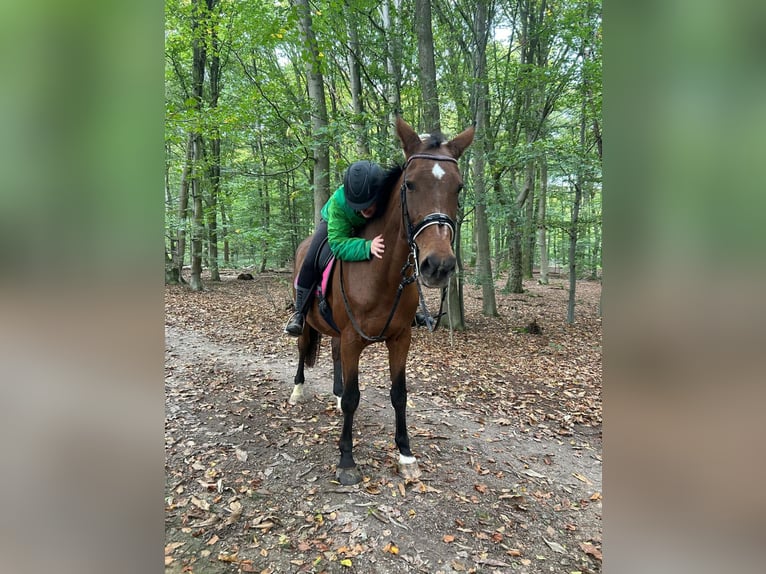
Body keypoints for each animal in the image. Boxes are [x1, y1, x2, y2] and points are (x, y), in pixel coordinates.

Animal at [292, 118, 474, 486]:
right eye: (410, 184)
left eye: (458, 187)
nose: (439, 266)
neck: (383, 275)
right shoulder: (353, 338)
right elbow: (354, 398)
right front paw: (347, 460)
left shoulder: (400, 339)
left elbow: (399, 395)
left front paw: (405, 454)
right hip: (308, 321)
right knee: (302, 347)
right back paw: (298, 389)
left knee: (332, 353)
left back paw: (333, 393)